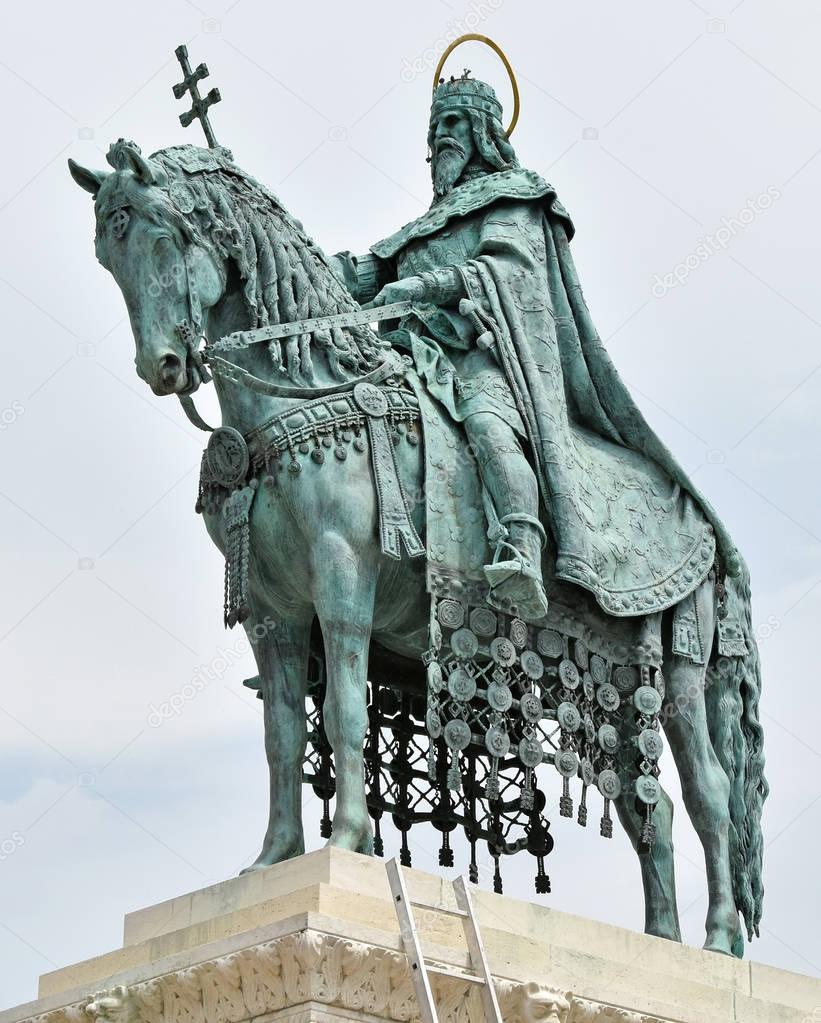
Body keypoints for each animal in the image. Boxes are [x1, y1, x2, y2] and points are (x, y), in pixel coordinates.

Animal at [67, 138, 768, 957]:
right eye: (106, 253)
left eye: (163, 233)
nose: (164, 369)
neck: (304, 392)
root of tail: (705, 526)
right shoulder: (273, 614)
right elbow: (281, 736)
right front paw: (273, 859)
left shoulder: (342, 576)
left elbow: (342, 709)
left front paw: (344, 840)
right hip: (626, 686)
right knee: (644, 806)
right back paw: (660, 941)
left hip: (680, 668)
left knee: (707, 793)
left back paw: (716, 942)